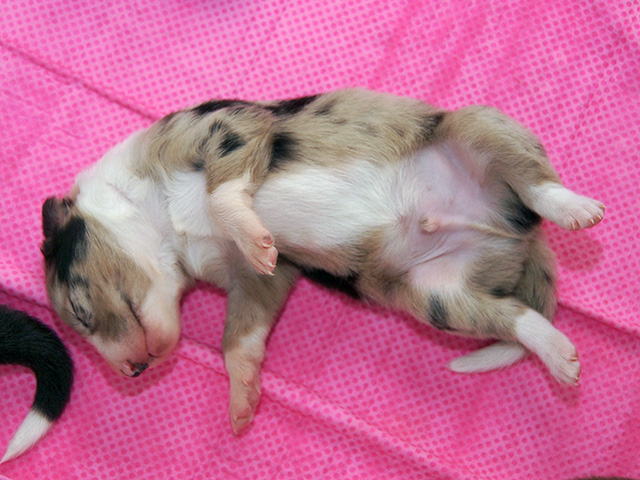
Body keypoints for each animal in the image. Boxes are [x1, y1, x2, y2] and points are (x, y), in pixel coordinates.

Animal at [41, 89, 605, 433]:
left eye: (80, 309)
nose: (133, 372)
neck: (164, 224)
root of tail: (519, 235)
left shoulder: (224, 128)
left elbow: (223, 195)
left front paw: (253, 235)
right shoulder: (255, 284)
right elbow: (238, 341)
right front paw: (242, 404)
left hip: (476, 124)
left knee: (536, 184)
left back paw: (578, 210)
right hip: (435, 295)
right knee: (516, 317)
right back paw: (560, 356)